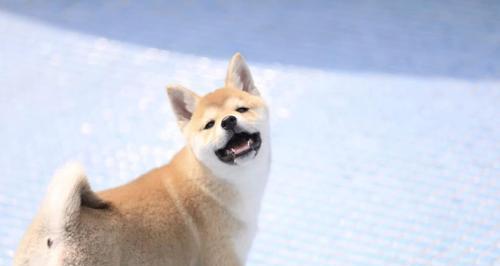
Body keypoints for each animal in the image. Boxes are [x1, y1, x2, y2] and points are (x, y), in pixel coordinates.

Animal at [14, 53, 270, 264]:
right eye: (209, 125)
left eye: (241, 110)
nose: (228, 121)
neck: (216, 180)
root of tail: (60, 231)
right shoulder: (223, 257)